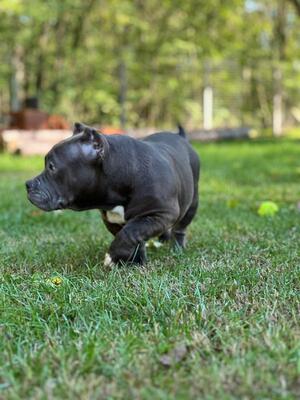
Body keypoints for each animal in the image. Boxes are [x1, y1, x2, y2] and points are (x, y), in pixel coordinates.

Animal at [25, 122, 199, 266]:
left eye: (51, 166)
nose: (28, 184)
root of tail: (181, 137)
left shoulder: (161, 214)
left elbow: (129, 233)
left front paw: (113, 257)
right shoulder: (112, 220)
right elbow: (133, 237)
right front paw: (136, 262)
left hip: (191, 203)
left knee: (180, 228)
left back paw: (177, 249)